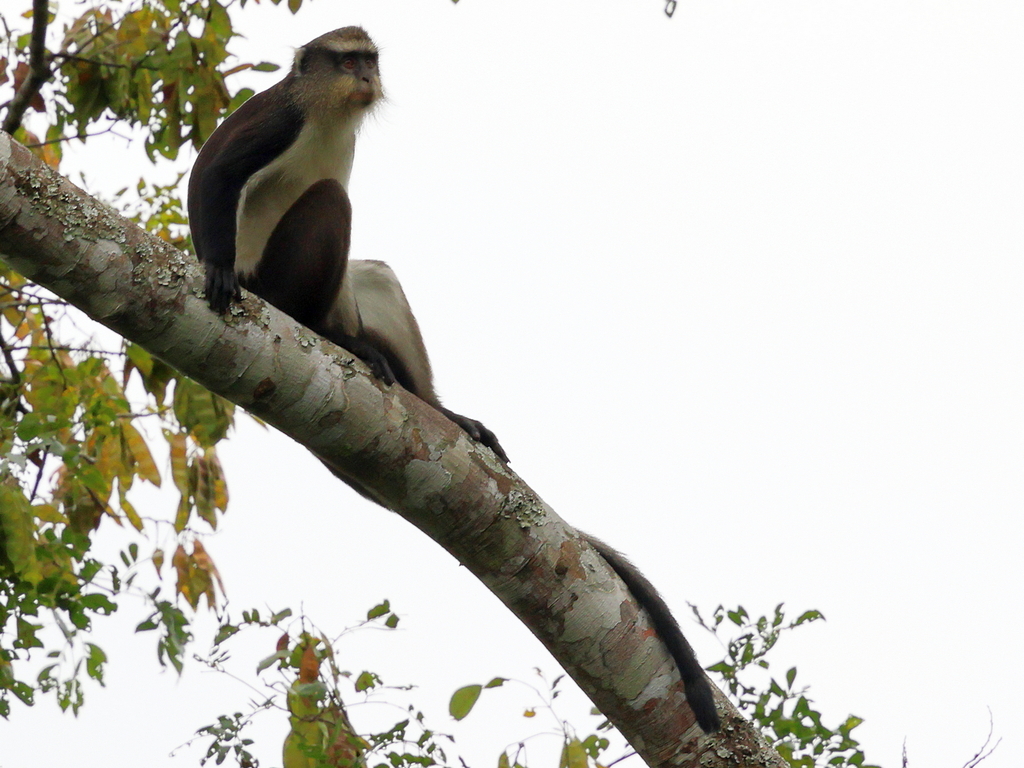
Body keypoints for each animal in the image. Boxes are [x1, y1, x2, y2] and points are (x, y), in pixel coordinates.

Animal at [186, 26, 718, 734]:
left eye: (369, 61)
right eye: (347, 60)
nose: (365, 77)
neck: (330, 116)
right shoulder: (276, 119)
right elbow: (214, 170)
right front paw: (215, 266)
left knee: (373, 274)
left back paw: (426, 399)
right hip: (275, 286)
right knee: (330, 203)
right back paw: (330, 336)